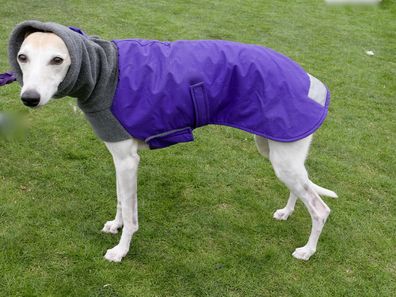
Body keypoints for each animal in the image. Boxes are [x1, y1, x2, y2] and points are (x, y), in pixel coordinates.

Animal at [8, 21, 338, 262]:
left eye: (58, 59)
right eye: (23, 57)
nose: (29, 98)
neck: (104, 71)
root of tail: (311, 80)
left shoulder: (129, 161)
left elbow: (132, 214)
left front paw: (121, 251)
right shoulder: (119, 158)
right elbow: (121, 199)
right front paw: (115, 225)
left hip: (283, 156)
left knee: (320, 209)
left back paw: (307, 251)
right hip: (276, 150)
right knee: (301, 187)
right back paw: (287, 212)